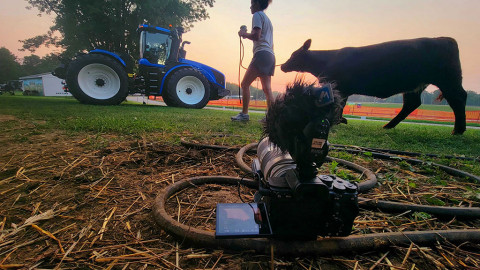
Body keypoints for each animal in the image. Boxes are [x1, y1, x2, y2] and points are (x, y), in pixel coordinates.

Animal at [280, 37, 466, 134]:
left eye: (294, 55)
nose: (282, 66)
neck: (326, 61)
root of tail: (446, 39)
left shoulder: (340, 87)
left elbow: (340, 105)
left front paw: (338, 120)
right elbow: (341, 105)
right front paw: (341, 120)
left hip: (448, 79)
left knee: (458, 98)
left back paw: (458, 129)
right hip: (415, 85)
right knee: (411, 103)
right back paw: (389, 125)